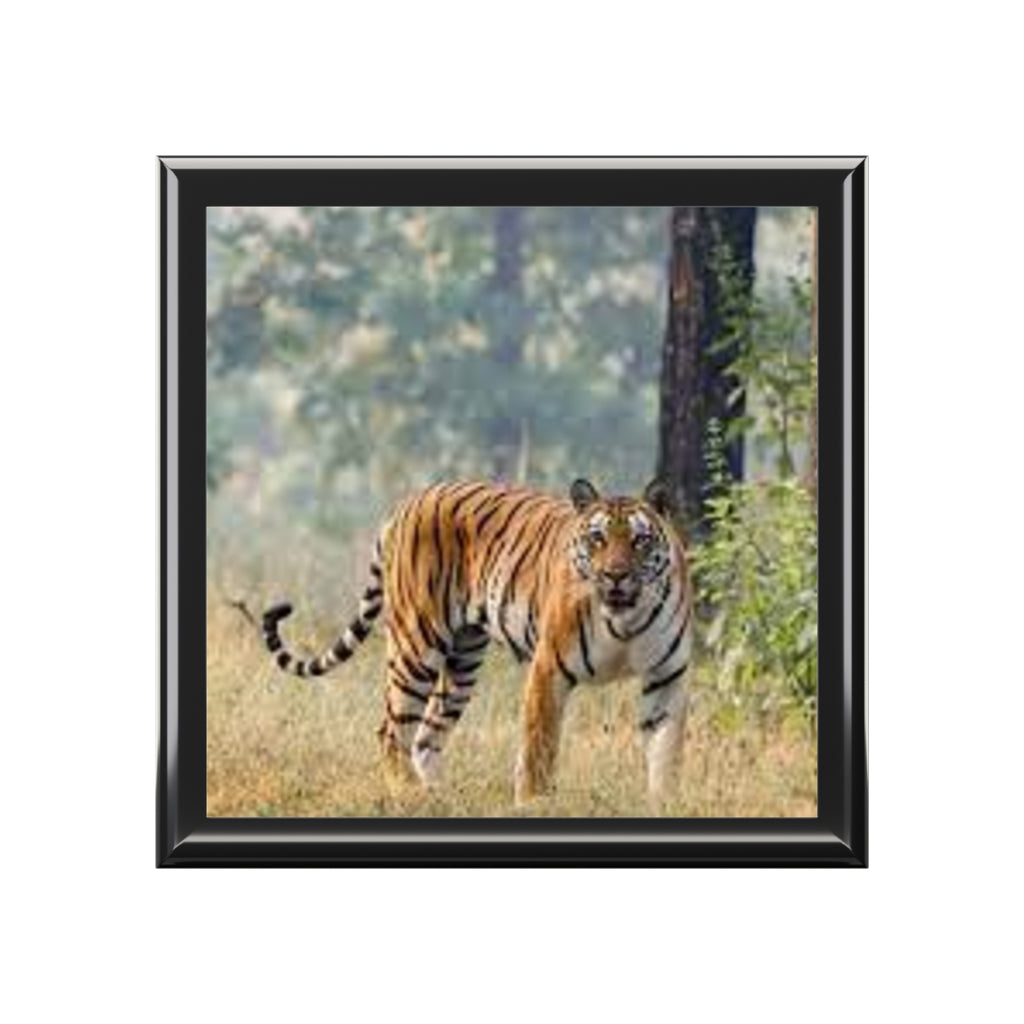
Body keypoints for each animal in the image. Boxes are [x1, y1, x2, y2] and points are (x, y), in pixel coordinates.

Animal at [260, 478, 694, 804]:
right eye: (597, 539)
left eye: (639, 541)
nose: (615, 575)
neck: (625, 620)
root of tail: (409, 501)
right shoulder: (549, 668)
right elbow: (539, 746)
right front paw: (534, 804)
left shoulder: (666, 677)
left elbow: (666, 751)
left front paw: (663, 803)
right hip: (416, 644)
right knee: (391, 730)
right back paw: (410, 795)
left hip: (463, 660)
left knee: (425, 736)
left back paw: (439, 795)